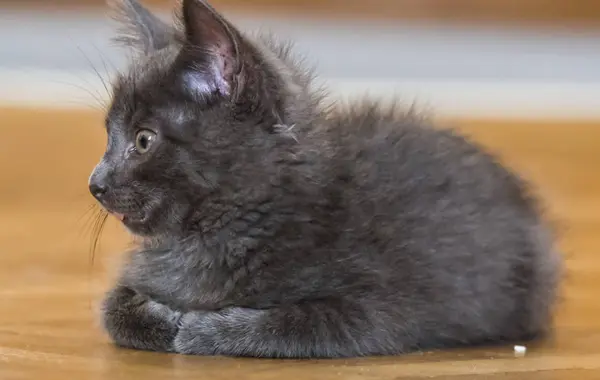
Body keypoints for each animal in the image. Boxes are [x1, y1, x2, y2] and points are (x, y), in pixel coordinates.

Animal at [90, 0, 564, 358]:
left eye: (143, 140)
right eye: (109, 135)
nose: (96, 183)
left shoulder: (381, 305)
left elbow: (301, 322)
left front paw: (206, 329)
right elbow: (113, 308)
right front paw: (162, 318)